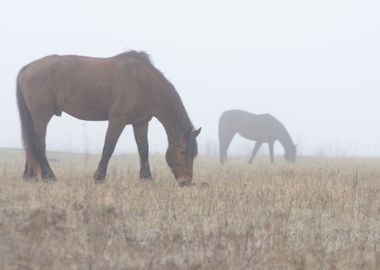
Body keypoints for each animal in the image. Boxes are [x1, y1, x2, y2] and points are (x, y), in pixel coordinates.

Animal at [17, 50, 202, 186]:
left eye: (194, 154)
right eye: (183, 151)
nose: (186, 182)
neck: (143, 83)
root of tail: (28, 67)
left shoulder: (141, 122)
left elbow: (143, 149)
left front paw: (146, 178)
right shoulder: (117, 120)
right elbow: (109, 147)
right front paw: (99, 177)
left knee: (30, 143)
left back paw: (30, 175)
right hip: (41, 115)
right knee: (38, 144)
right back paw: (49, 176)